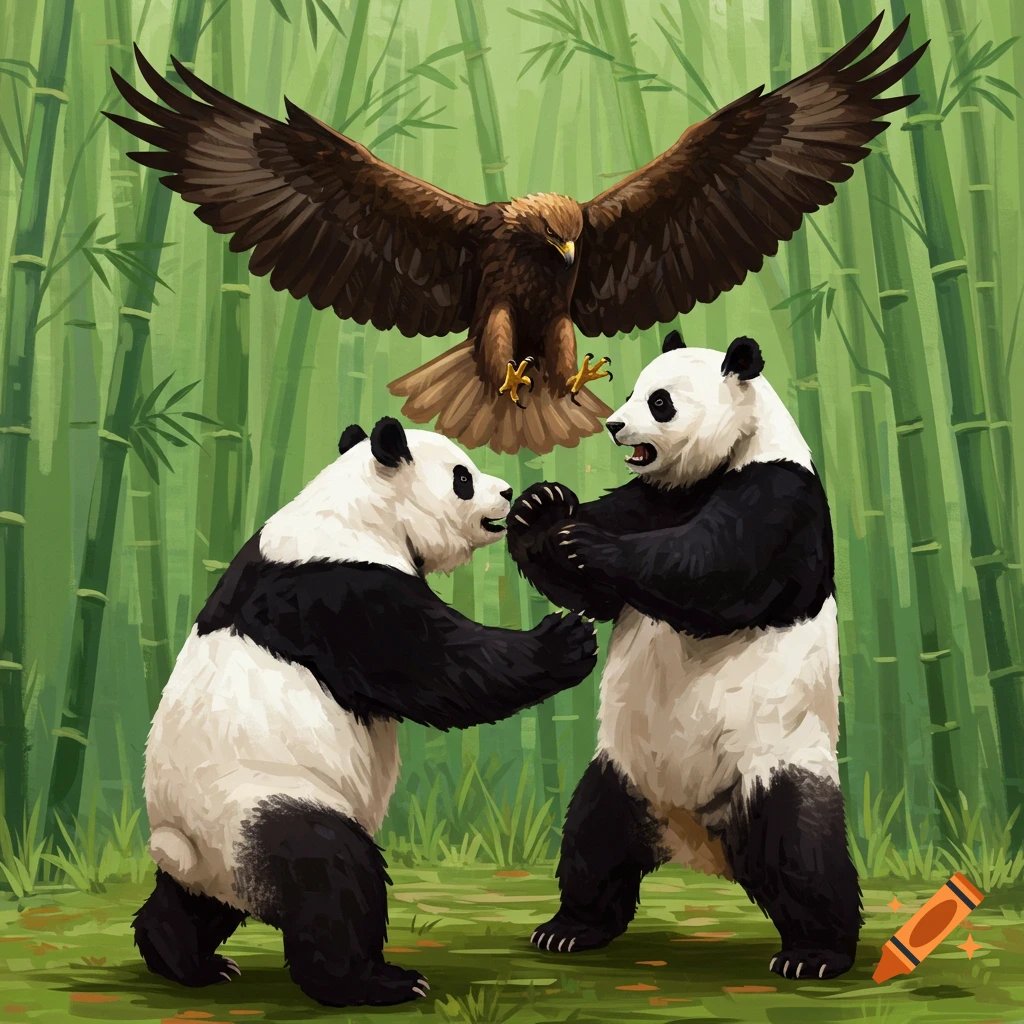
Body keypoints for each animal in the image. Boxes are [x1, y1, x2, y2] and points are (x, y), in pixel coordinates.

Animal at [134, 416, 598, 1008]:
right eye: (462, 478)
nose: (507, 491)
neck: (358, 510)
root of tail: (188, 850)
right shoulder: (341, 592)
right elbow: (440, 667)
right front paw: (564, 640)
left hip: (219, 853)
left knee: (192, 906)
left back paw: (190, 963)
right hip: (262, 804)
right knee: (331, 874)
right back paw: (376, 981)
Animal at [506, 332, 861, 982]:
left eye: (661, 401)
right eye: (630, 390)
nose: (614, 425)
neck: (721, 463)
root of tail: (701, 842)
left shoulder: (779, 496)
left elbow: (716, 570)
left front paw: (588, 540)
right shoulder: (655, 497)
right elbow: (596, 591)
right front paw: (542, 508)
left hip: (775, 762)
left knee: (803, 848)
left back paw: (815, 954)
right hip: (623, 775)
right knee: (592, 842)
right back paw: (569, 929)